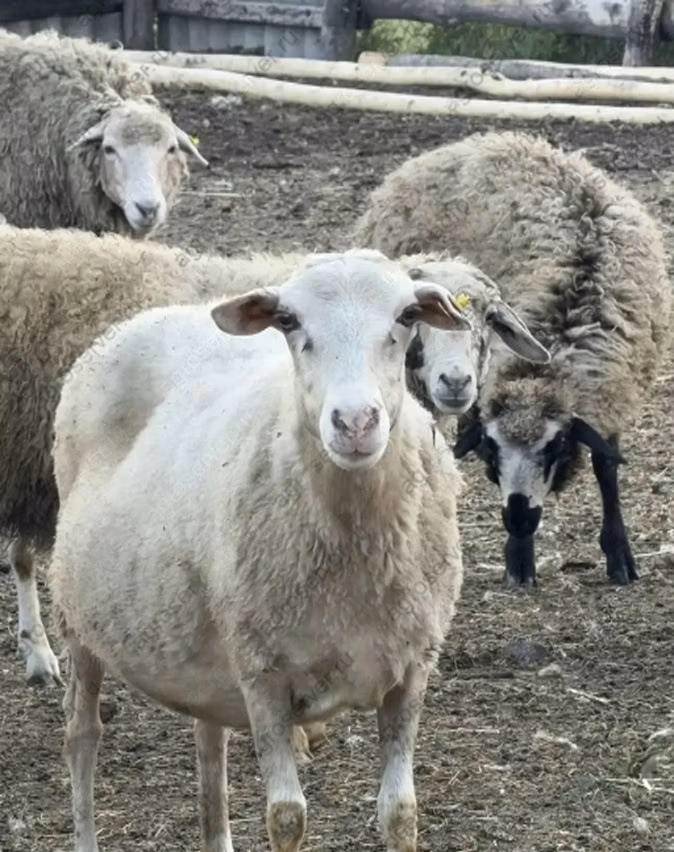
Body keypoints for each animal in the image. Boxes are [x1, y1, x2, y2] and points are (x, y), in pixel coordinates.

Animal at [48, 248, 467, 852]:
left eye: (408, 315)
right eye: (288, 321)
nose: (356, 422)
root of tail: (147, 318)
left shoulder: (410, 671)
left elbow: (401, 812)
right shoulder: (264, 677)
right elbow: (286, 817)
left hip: (202, 626)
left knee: (208, 739)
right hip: (80, 616)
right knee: (82, 735)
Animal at [354, 130, 672, 587]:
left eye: (554, 446)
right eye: (491, 447)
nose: (519, 519)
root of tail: (479, 141)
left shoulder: (612, 393)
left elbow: (606, 468)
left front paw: (619, 555)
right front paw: (519, 560)